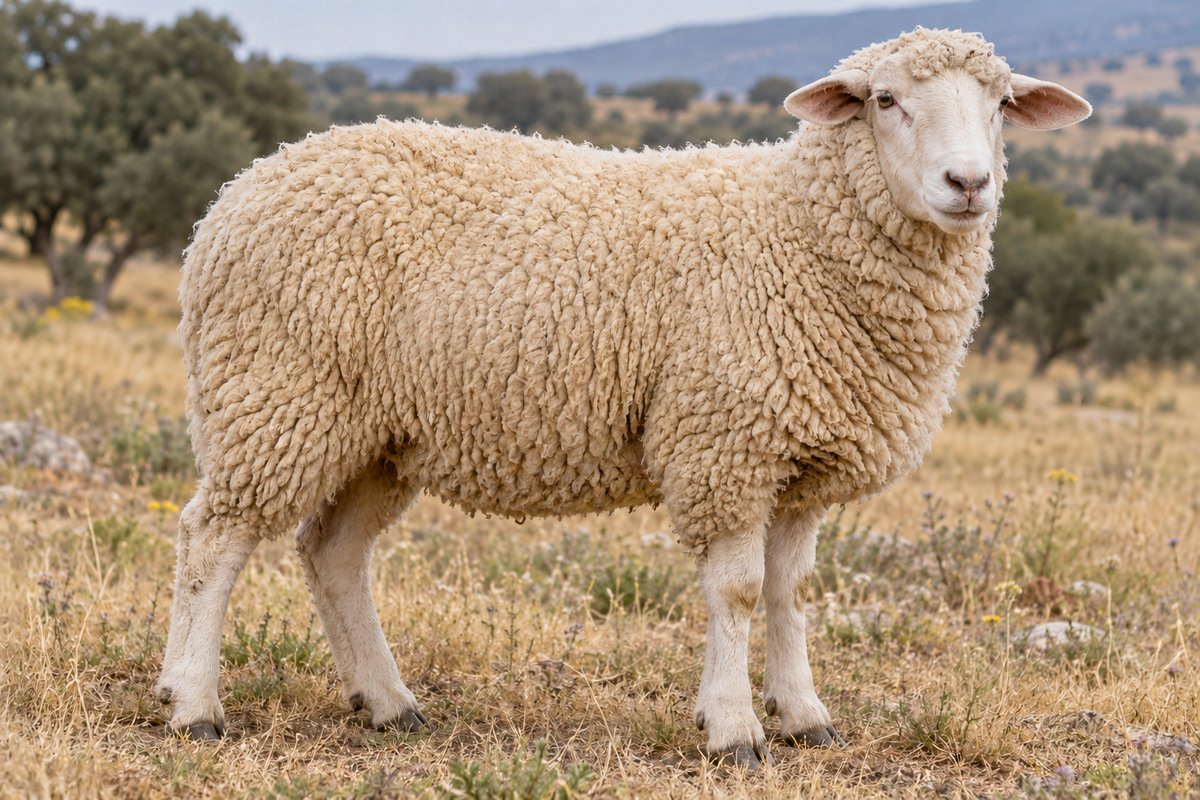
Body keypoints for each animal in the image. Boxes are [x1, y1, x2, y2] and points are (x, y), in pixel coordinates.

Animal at [155, 27, 1090, 767]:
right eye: (887, 100)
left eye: (1002, 103)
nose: (968, 184)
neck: (801, 232)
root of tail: (236, 192)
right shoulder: (725, 441)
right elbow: (738, 592)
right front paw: (734, 729)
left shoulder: (799, 460)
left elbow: (789, 593)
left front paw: (805, 717)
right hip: (274, 394)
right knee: (213, 540)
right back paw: (194, 705)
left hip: (376, 433)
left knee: (335, 555)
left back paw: (388, 703)